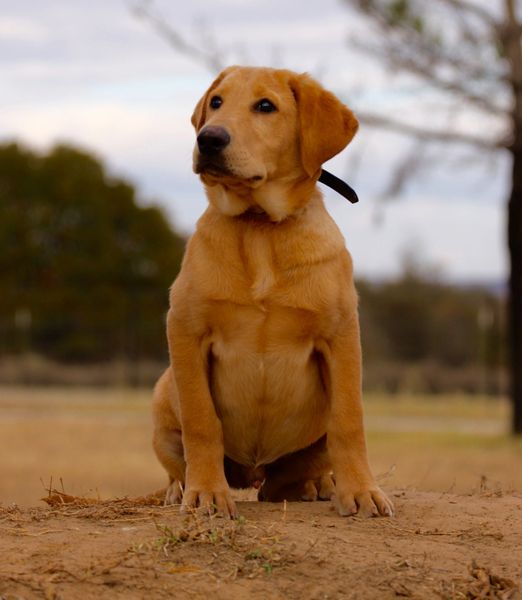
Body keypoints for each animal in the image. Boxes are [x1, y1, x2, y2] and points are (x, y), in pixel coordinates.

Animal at [152, 63, 392, 516]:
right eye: (216, 102)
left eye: (266, 106)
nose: (208, 139)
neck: (260, 226)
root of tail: (255, 471)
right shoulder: (186, 329)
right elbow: (201, 420)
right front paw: (206, 492)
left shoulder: (341, 334)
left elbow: (349, 421)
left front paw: (361, 491)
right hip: (162, 398)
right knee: (181, 460)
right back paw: (181, 487)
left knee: (288, 478)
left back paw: (318, 484)